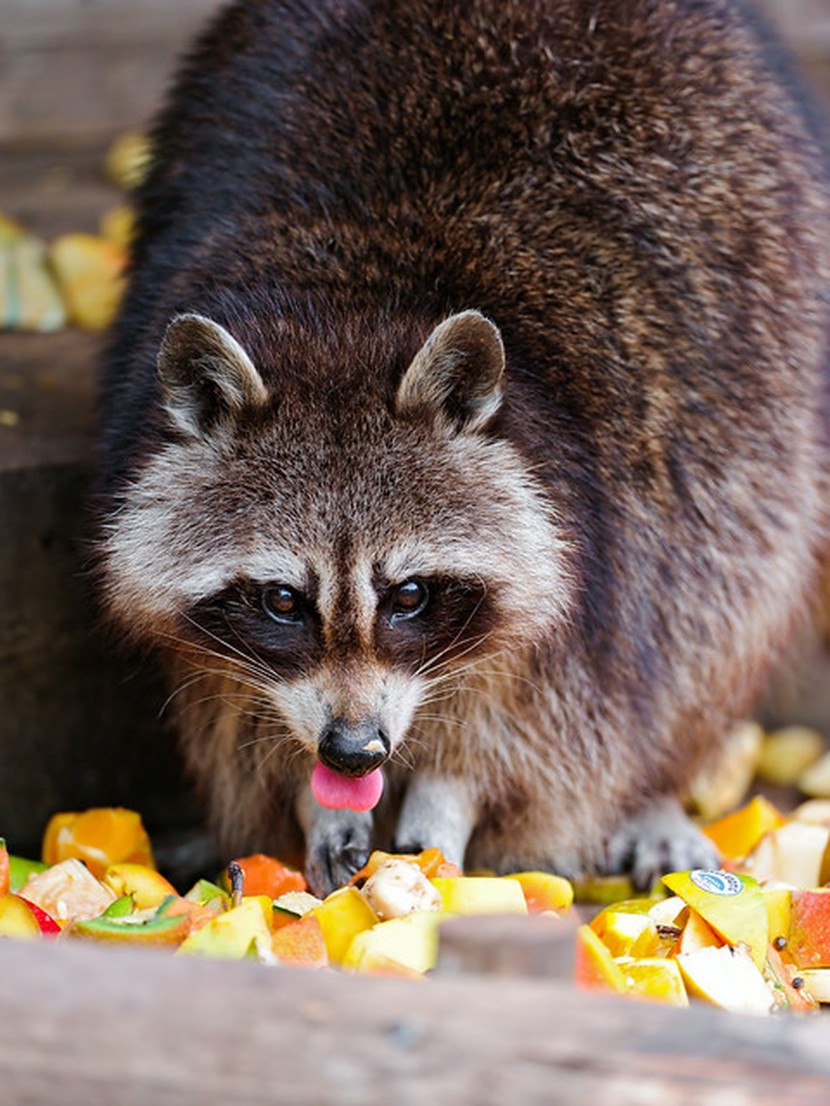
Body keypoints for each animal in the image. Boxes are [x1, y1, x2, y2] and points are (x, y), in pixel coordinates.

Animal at [95, 0, 830, 893]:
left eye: (410, 595)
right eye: (282, 601)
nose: (355, 750)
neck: (349, 307)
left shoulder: (598, 545)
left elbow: (552, 728)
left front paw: (452, 792)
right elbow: (235, 718)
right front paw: (312, 798)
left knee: (719, 596)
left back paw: (657, 787)